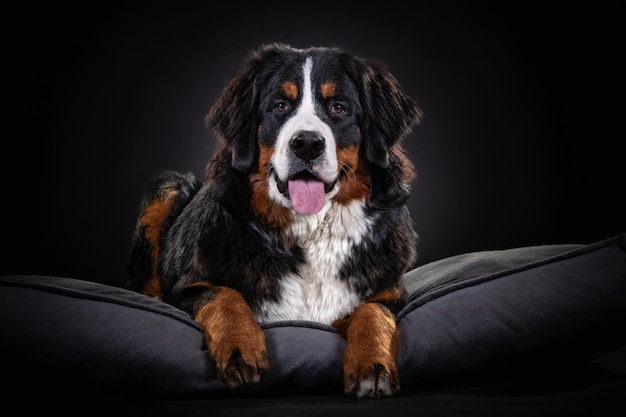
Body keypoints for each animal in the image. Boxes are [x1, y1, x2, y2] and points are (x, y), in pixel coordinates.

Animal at [126, 42, 420, 396]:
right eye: (280, 106)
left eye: (338, 108)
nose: (307, 143)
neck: (310, 230)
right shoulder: (184, 290)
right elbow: (223, 296)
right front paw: (239, 349)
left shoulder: (389, 295)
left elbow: (373, 313)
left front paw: (372, 366)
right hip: (165, 190)